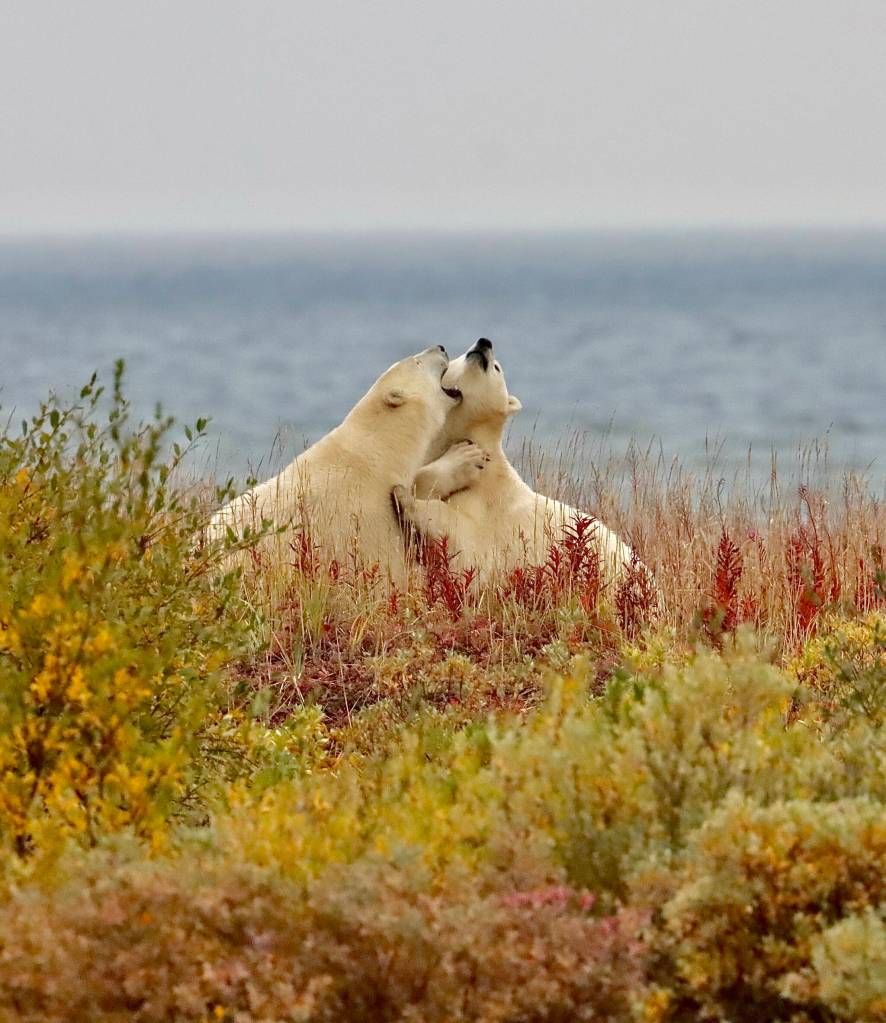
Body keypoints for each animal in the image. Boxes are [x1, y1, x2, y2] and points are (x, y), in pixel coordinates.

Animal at [394, 338, 646, 588]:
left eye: (497, 368)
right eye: (464, 353)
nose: (484, 343)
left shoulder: (488, 512)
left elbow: (457, 533)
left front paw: (406, 497)